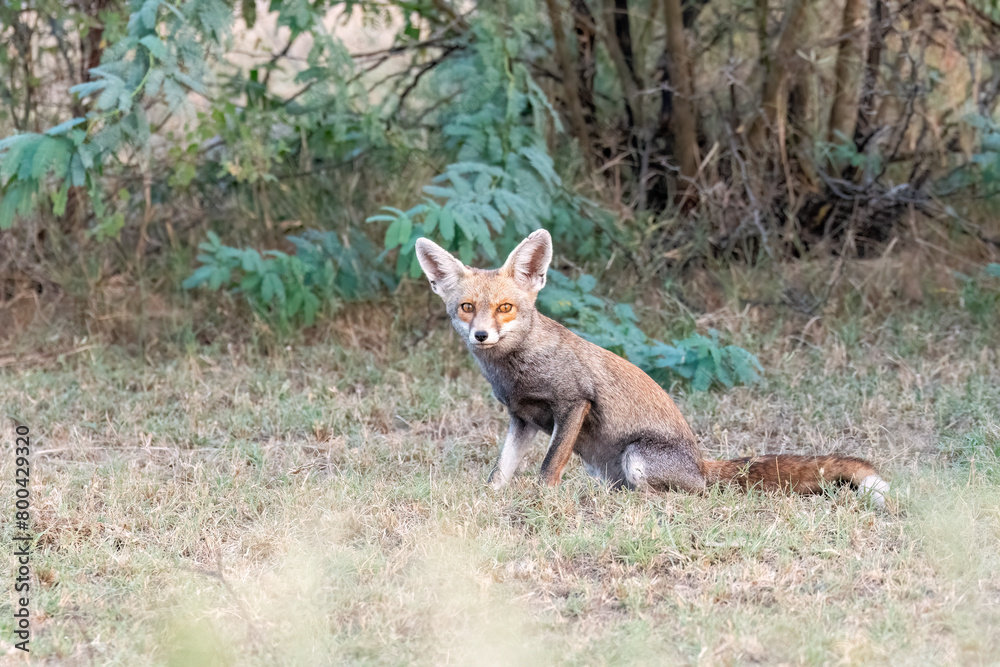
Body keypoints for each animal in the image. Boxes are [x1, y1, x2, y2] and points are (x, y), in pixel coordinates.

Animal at [414, 230, 892, 506]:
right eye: (467, 307)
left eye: (506, 308)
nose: (481, 336)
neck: (518, 370)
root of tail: (701, 466)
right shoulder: (522, 418)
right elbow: (500, 471)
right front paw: (491, 500)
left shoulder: (574, 403)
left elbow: (548, 469)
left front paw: (540, 503)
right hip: (609, 470)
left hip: (637, 457)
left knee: (670, 499)